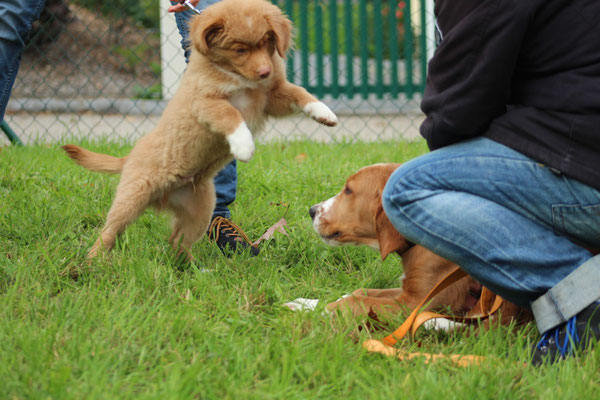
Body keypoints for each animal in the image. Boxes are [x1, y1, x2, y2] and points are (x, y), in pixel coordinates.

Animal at [63, 0, 340, 260]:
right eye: (240, 49)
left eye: (266, 43)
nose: (265, 71)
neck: (238, 77)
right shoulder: (205, 102)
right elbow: (230, 115)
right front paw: (243, 144)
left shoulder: (269, 96)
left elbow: (298, 92)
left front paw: (325, 112)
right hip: (133, 196)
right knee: (109, 231)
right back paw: (93, 262)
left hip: (200, 209)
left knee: (177, 241)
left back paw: (192, 267)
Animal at [310, 163, 528, 328]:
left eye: (348, 190)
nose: (311, 210)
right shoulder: (408, 290)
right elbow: (363, 292)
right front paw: (312, 303)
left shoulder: (416, 304)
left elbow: (359, 300)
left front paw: (322, 310)